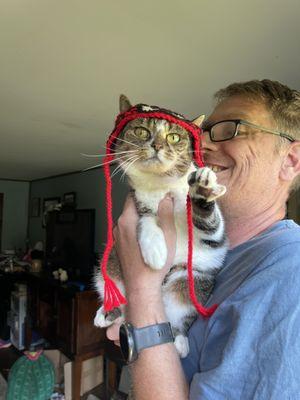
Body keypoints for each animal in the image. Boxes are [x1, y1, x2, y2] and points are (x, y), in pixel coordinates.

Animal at [94, 95, 227, 358]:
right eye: (141, 131)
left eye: (173, 137)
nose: (156, 145)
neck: (162, 188)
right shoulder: (139, 203)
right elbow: (147, 220)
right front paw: (155, 251)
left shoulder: (211, 238)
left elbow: (211, 224)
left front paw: (203, 190)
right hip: (110, 270)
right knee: (118, 299)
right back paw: (107, 313)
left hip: (188, 279)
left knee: (180, 316)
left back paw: (180, 341)